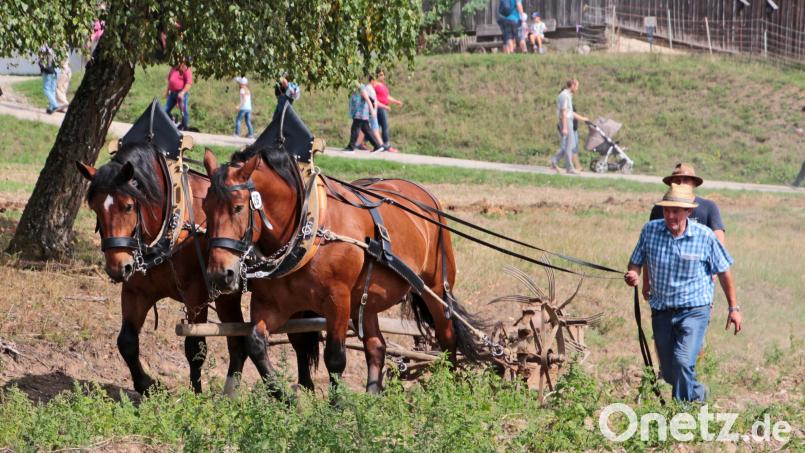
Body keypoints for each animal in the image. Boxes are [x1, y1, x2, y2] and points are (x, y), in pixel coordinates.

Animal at [76, 141, 320, 395]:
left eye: (128, 206)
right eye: (94, 208)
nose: (117, 267)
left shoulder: (197, 294)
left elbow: (195, 346)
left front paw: (196, 394)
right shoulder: (136, 292)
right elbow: (126, 341)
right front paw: (146, 384)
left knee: (292, 339)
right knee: (276, 339)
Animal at [201, 144, 487, 394]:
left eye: (238, 207)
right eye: (205, 206)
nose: (219, 273)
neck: (308, 230)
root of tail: (427, 198)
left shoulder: (337, 300)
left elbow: (335, 357)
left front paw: (336, 410)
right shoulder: (272, 304)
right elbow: (256, 343)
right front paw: (285, 397)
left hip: (435, 287)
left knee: (447, 338)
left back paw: (447, 389)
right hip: (365, 300)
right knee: (376, 347)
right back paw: (371, 398)